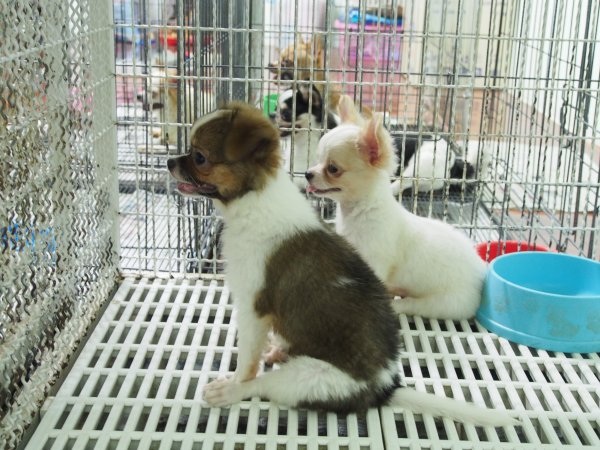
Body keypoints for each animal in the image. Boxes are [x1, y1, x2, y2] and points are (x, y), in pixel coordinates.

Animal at [305, 96, 488, 320]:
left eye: (333, 169)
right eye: (317, 160)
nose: (307, 174)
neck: (360, 211)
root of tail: (480, 271)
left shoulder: (374, 262)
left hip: (445, 303)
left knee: (410, 305)